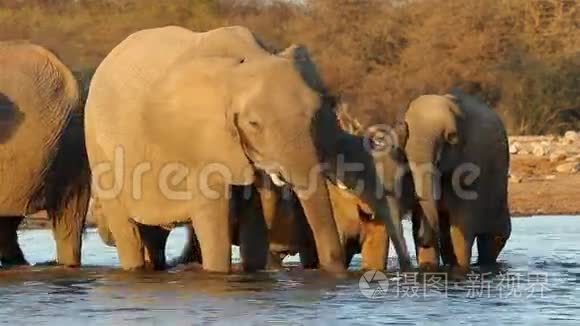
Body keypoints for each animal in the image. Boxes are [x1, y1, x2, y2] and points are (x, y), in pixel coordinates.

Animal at [87, 25, 412, 274]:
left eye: (316, 114)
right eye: (254, 123)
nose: (332, 270)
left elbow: (255, 220)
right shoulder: (201, 145)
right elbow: (212, 219)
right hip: (100, 153)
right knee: (128, 232)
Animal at [398, 88, 512, 272]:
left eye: (450, 137)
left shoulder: (472, 160)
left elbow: (461, 222)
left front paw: (460, 269)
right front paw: (428, 268)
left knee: (492, 238)